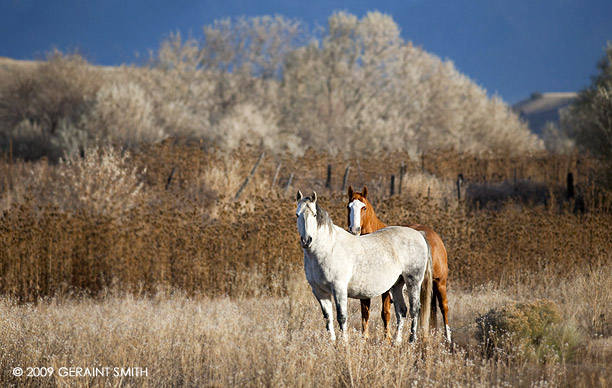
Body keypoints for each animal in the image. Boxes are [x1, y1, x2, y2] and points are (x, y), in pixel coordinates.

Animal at [296, 189, 430, 344]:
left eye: (314, 215)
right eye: (297, 214)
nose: (306, 241)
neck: (328, 248)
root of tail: (419, 234)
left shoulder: (339, 288)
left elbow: (342, 317)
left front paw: (344, 344)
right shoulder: (320, 292)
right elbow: (328, 318)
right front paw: (332, 343)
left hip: (413, 281)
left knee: (415, 309)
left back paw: (411, 341)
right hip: (397, 284)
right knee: (401, 311)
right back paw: (396, 342)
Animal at [346, 186, 452, 342]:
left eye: (363, 207)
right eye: (349, 207)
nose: (354, 230)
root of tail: (430, 235)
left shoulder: (386, 290)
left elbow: (385, 313)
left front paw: (387, 338)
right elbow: (365, 312)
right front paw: (364, 338)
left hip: (440, 282)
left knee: (444, 308)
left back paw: (448, 340)